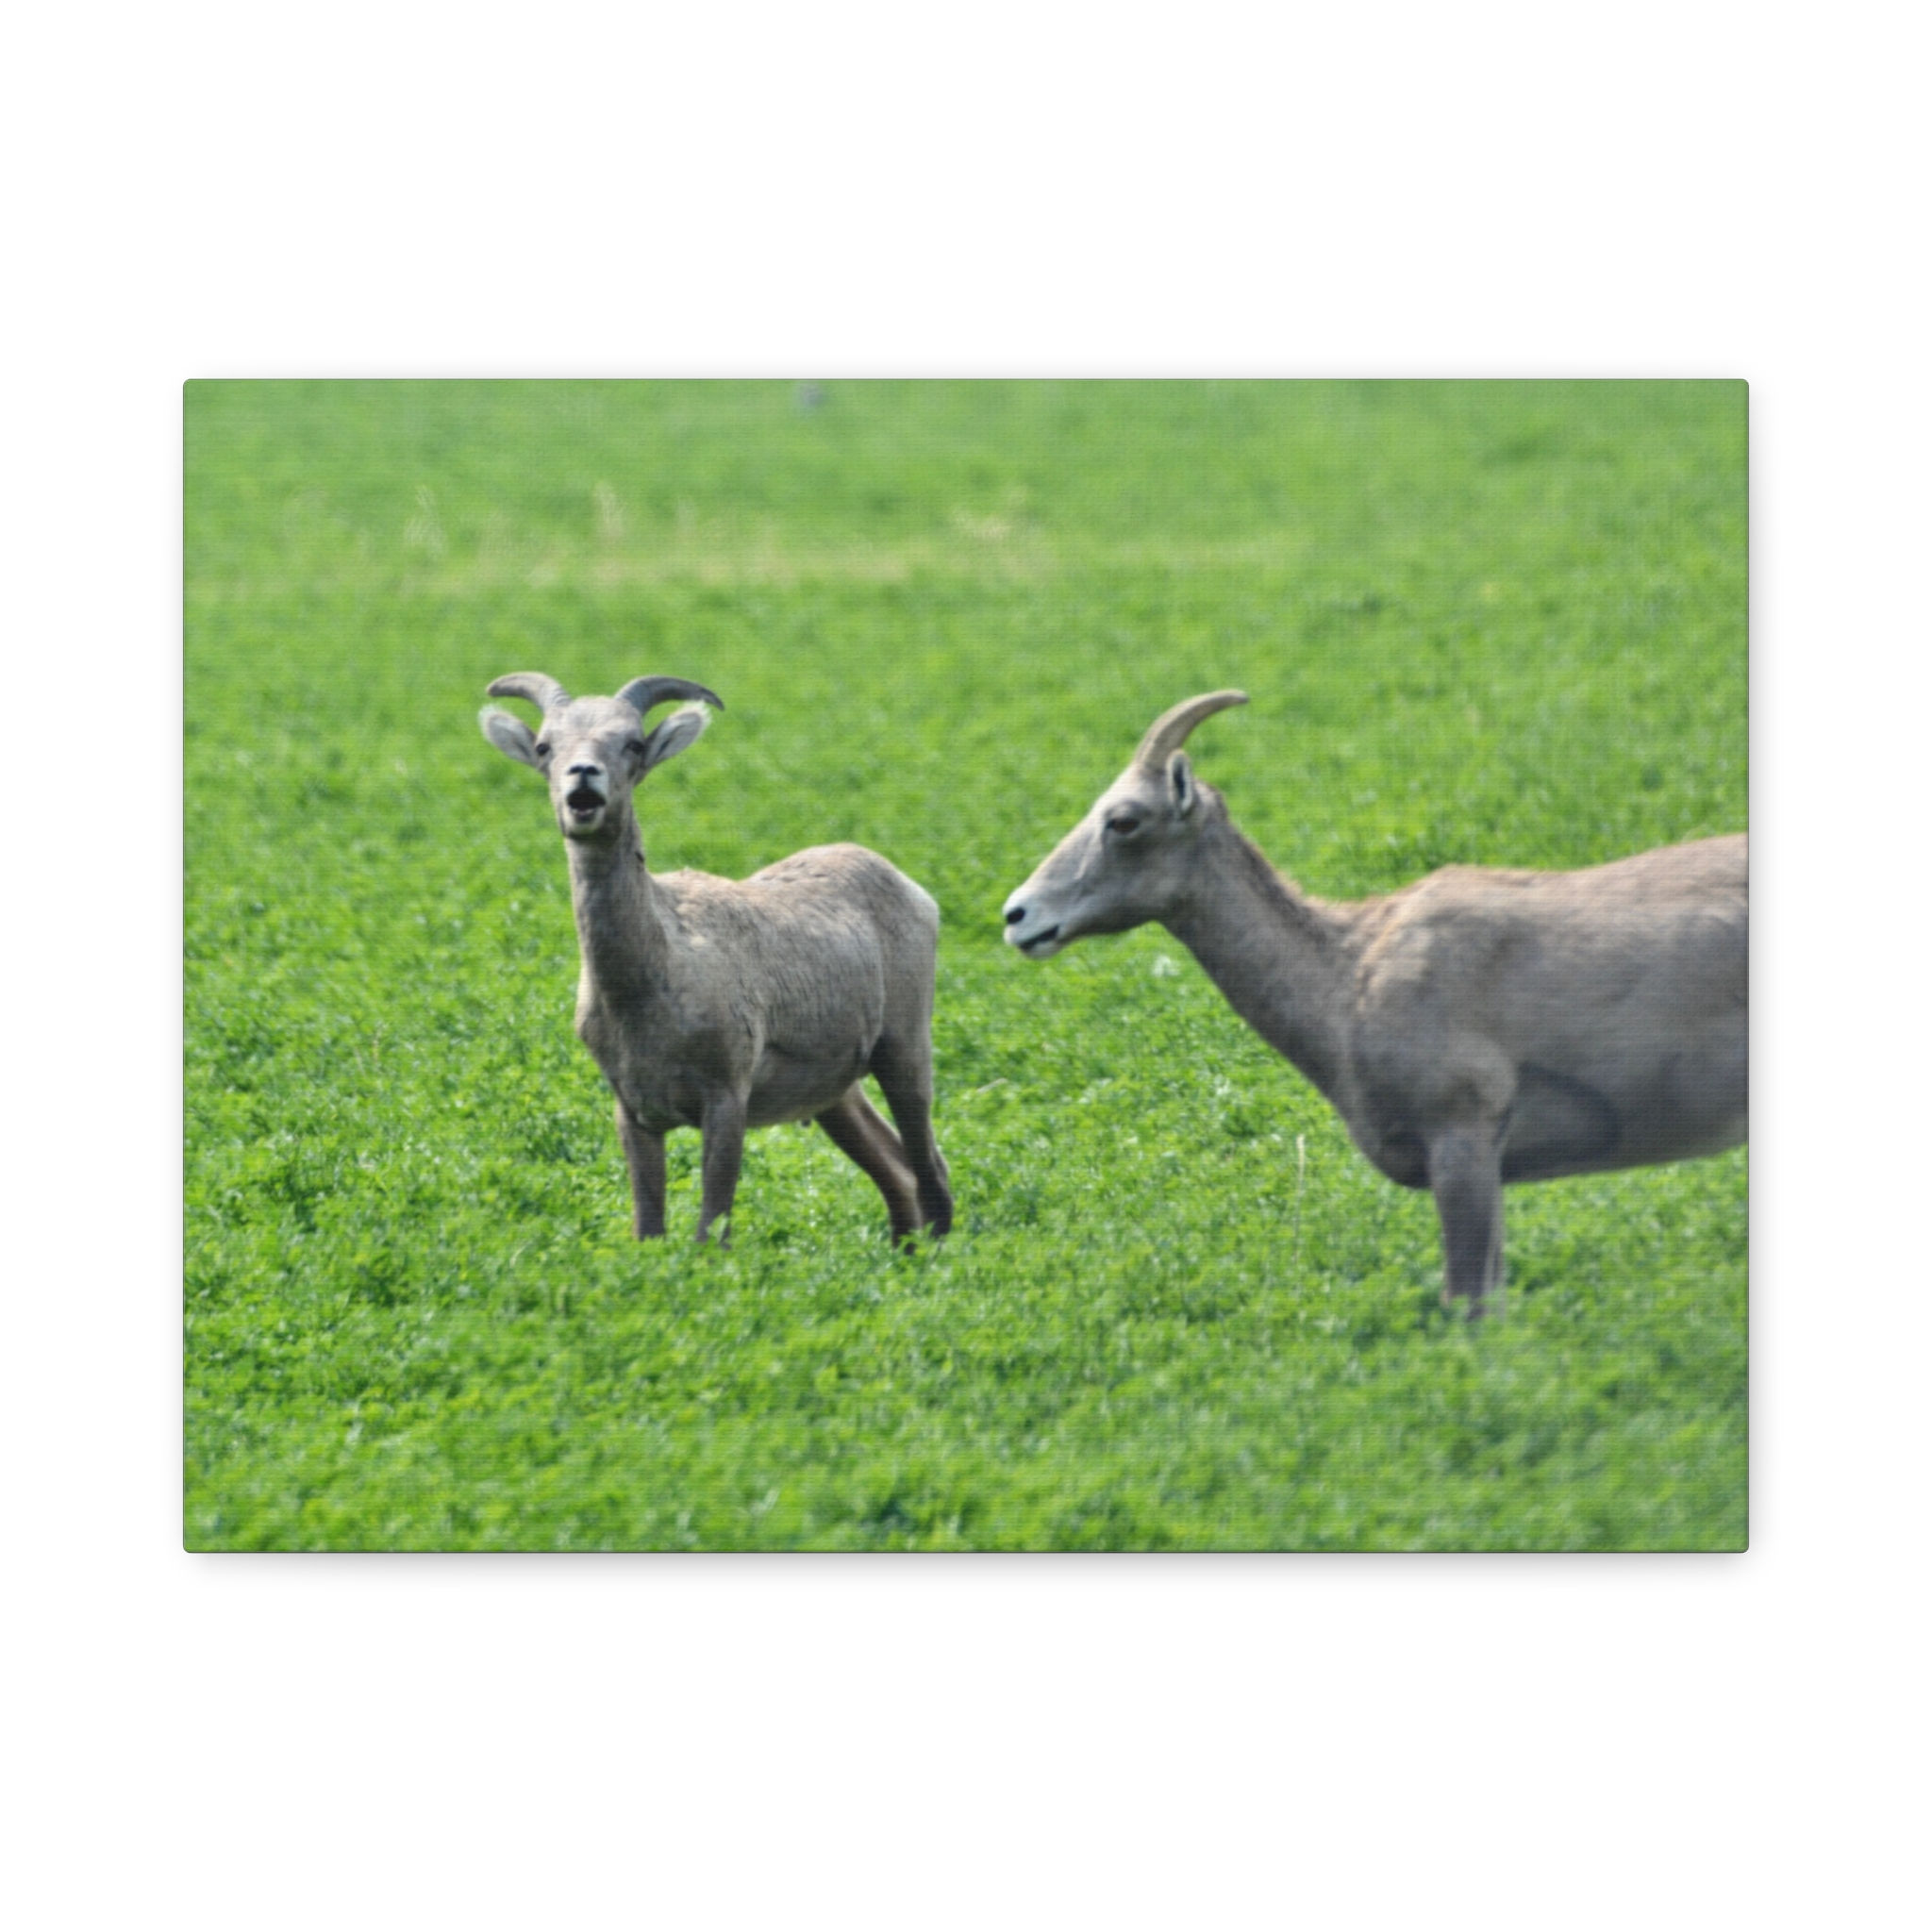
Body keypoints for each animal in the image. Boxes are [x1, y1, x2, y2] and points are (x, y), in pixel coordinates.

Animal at [479, 671, 952, 1247]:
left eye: (632, 744)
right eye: (546, 747)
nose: (583, 778)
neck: (650, 987)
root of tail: (915, 892)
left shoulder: (726, 1098)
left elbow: (712, 1230)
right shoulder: (633, 1111)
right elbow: (649, 1229)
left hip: (904, 1051)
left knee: (931, 1171)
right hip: (836, 1095)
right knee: (897, 1172)